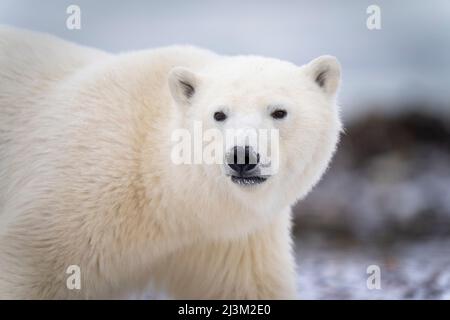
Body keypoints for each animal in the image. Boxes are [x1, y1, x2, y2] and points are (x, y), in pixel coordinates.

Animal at [0, 26, 342, 298]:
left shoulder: (231, 242)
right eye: (219, 114)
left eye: (279, 112)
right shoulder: (66, 216)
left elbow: (247, 286)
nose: (242, 157)